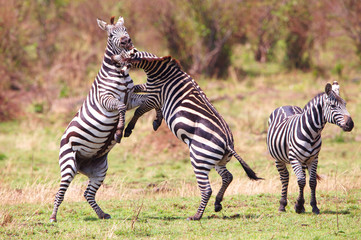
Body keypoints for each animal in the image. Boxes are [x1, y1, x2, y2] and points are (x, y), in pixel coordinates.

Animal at [49, 16, 149, 223]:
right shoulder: (106, 99)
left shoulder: (131, 99)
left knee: (88, 194)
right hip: (68, 163)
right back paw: (53, 216)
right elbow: (120, 108)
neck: (119, 73)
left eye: (126, 30)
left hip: (100, 169)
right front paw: (118, 131)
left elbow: (145, 100)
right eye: (111, 35)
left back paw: (102, 214)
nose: (127, 41)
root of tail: (81, 165)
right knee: (60, 192)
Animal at [110, 51, 262, 220]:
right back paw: (217, 203)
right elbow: (139, 90)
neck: (159, 71)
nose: (113, 61)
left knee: (207, 189)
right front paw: (156, 121)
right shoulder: (152, 92)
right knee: (228, 177)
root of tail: (228, 143)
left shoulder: (154, 96)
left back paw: (196, 216)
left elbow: (139, 110)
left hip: (199, 158)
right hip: (219, 160)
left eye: (123, 57)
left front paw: (129, 129)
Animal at [266, 81, 352, 215]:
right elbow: (301, 181)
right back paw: (282, 205)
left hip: (303, 160)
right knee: (285, 178)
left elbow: (311, 182)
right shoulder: (294, 158)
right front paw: (299, 205)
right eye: (333, 106)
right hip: (278, 159)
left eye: (345, 104)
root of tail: (286, 105)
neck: (313, 133)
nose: (350, 124)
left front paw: (313, 206)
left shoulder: (314, 158)